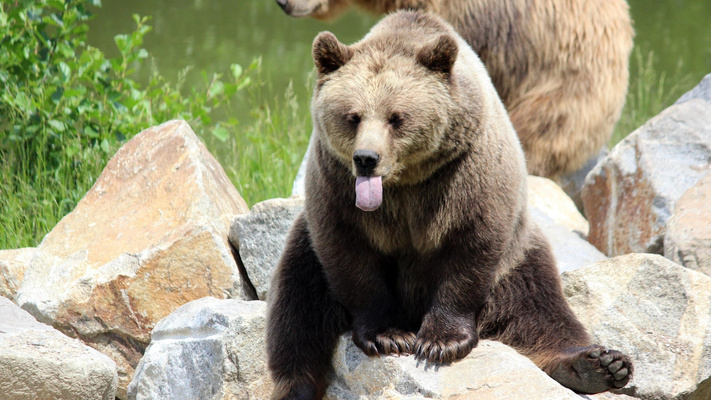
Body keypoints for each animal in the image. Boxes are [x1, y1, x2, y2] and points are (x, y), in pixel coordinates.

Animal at [266, 10, 636, 398]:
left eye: (396, 117)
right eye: (352, 116)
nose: (366, 158)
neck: (406, 181)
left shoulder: (466, 177)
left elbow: (468, 252)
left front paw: (440, 343)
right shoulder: (336, 186)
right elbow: (350, 257)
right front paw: (389, 336)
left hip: (518, 255)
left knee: (540, 307)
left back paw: (601, 364)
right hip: (305, 245)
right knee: (297, 308)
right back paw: (298, 386)